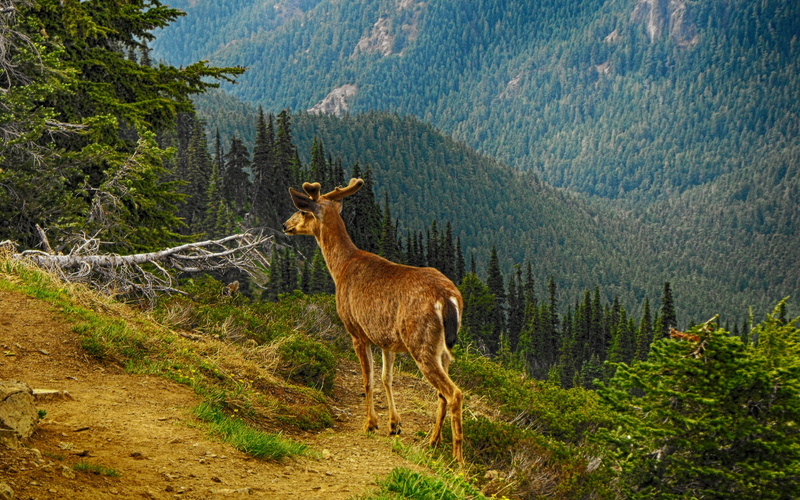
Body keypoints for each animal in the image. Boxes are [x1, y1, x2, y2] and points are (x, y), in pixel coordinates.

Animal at [283, 178, 465, 463]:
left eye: (302, 211)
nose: (285, 225)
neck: (341, 267)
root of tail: (448, 298)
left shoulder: (356, 331)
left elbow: (367, 379)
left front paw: (370, 423)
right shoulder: (386, 340)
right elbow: (385, 378)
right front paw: (394, 425)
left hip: (420, 340)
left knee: (454, 393)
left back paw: (457, 459)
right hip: (442, 347)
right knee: (442, 394)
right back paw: (433, 441)